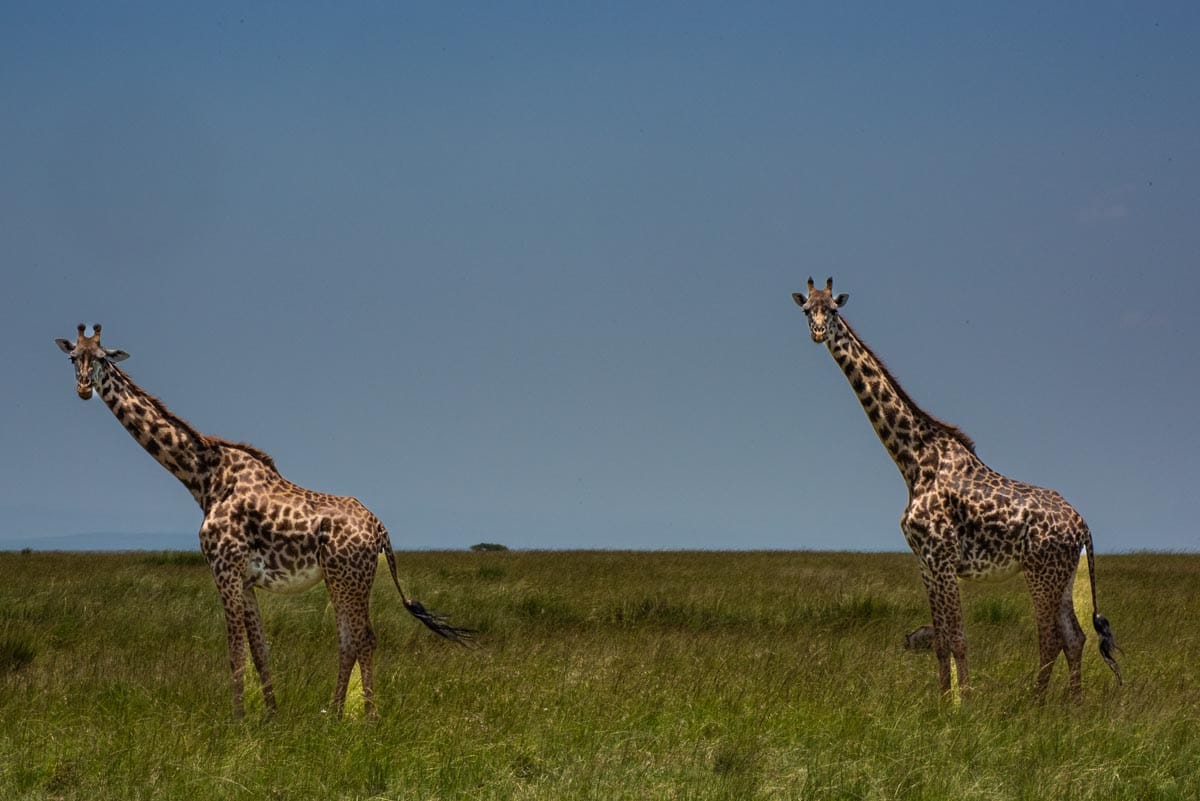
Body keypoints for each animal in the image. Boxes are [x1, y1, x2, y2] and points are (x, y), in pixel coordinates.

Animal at [56, 321, 470, 714]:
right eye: (73, 357)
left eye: (102, 357)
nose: (83, 389)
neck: (203, 478)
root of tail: (381, 530)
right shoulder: (245, 579)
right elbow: (260, 649)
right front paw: (271, 715)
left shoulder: (223, 568)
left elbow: (235, 650)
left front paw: (238, 719)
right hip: (345, 578)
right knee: (350, 639)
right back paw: (338, 714)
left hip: (347, 576)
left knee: (361, 638)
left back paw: (362, 717)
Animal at [792, 278, 1118, 695]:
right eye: (807, 310)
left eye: (832, 309)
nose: (818, 332)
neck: (913, 461)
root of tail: (1083, 526)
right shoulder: (926, 562)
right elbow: (941, 641)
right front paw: (943, 699)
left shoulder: (943, 558)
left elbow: (959, 639)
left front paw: (966, 701)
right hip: (1062, 575)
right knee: (1074, 637)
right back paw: (1072, 703)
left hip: (1040, 572)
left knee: (1050, 639)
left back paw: (1036, 703)